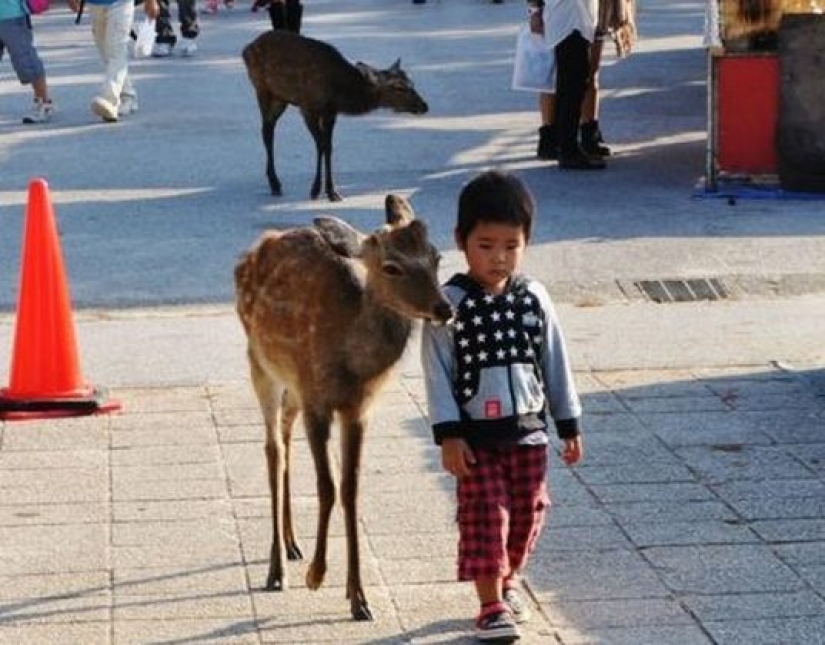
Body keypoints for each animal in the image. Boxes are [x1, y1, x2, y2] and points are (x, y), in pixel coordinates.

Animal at [232, 192, 450, 620]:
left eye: (436, 257)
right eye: (392, 266)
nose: (445, 309)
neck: (352, 364)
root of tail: (251, 253)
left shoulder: (358, 409)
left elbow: (351, 489)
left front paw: (359, 598)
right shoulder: (318, 400)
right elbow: (327, 487)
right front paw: (317, 576)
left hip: (293, 387)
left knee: (285, 435)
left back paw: (292, 544)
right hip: (260, 364)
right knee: (273, 449)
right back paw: (277, 568)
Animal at [241, 30, 428, 200]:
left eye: (412, 83)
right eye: (398, 87)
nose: (424, 106)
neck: (338, 91)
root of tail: (246, 49)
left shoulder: (331, 112)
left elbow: (329, 147)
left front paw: (332, 191)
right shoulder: (307, 107)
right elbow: (321, 145)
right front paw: (316, 190)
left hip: (280, 97)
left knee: (268, 129)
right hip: (263, 90)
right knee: (267, 132)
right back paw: (275, 184)